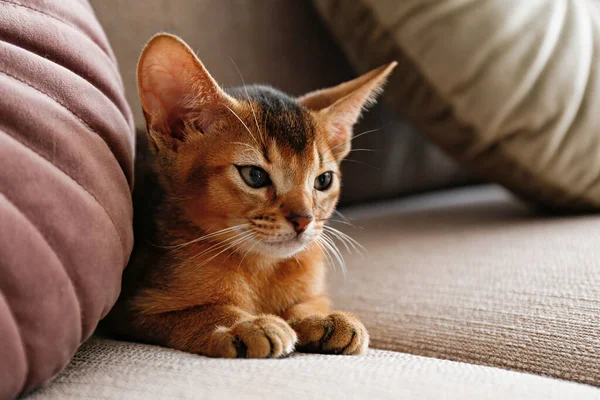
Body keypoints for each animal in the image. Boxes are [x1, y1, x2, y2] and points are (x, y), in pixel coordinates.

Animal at [103, 34, 396, 358]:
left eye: (323, 180)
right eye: (254, 176)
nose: (304, 220)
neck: (263, 269)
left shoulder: (311, 289)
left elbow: (307, 303)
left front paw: (323, 318)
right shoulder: (137, 306)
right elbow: (206, 310)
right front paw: (247, 326)